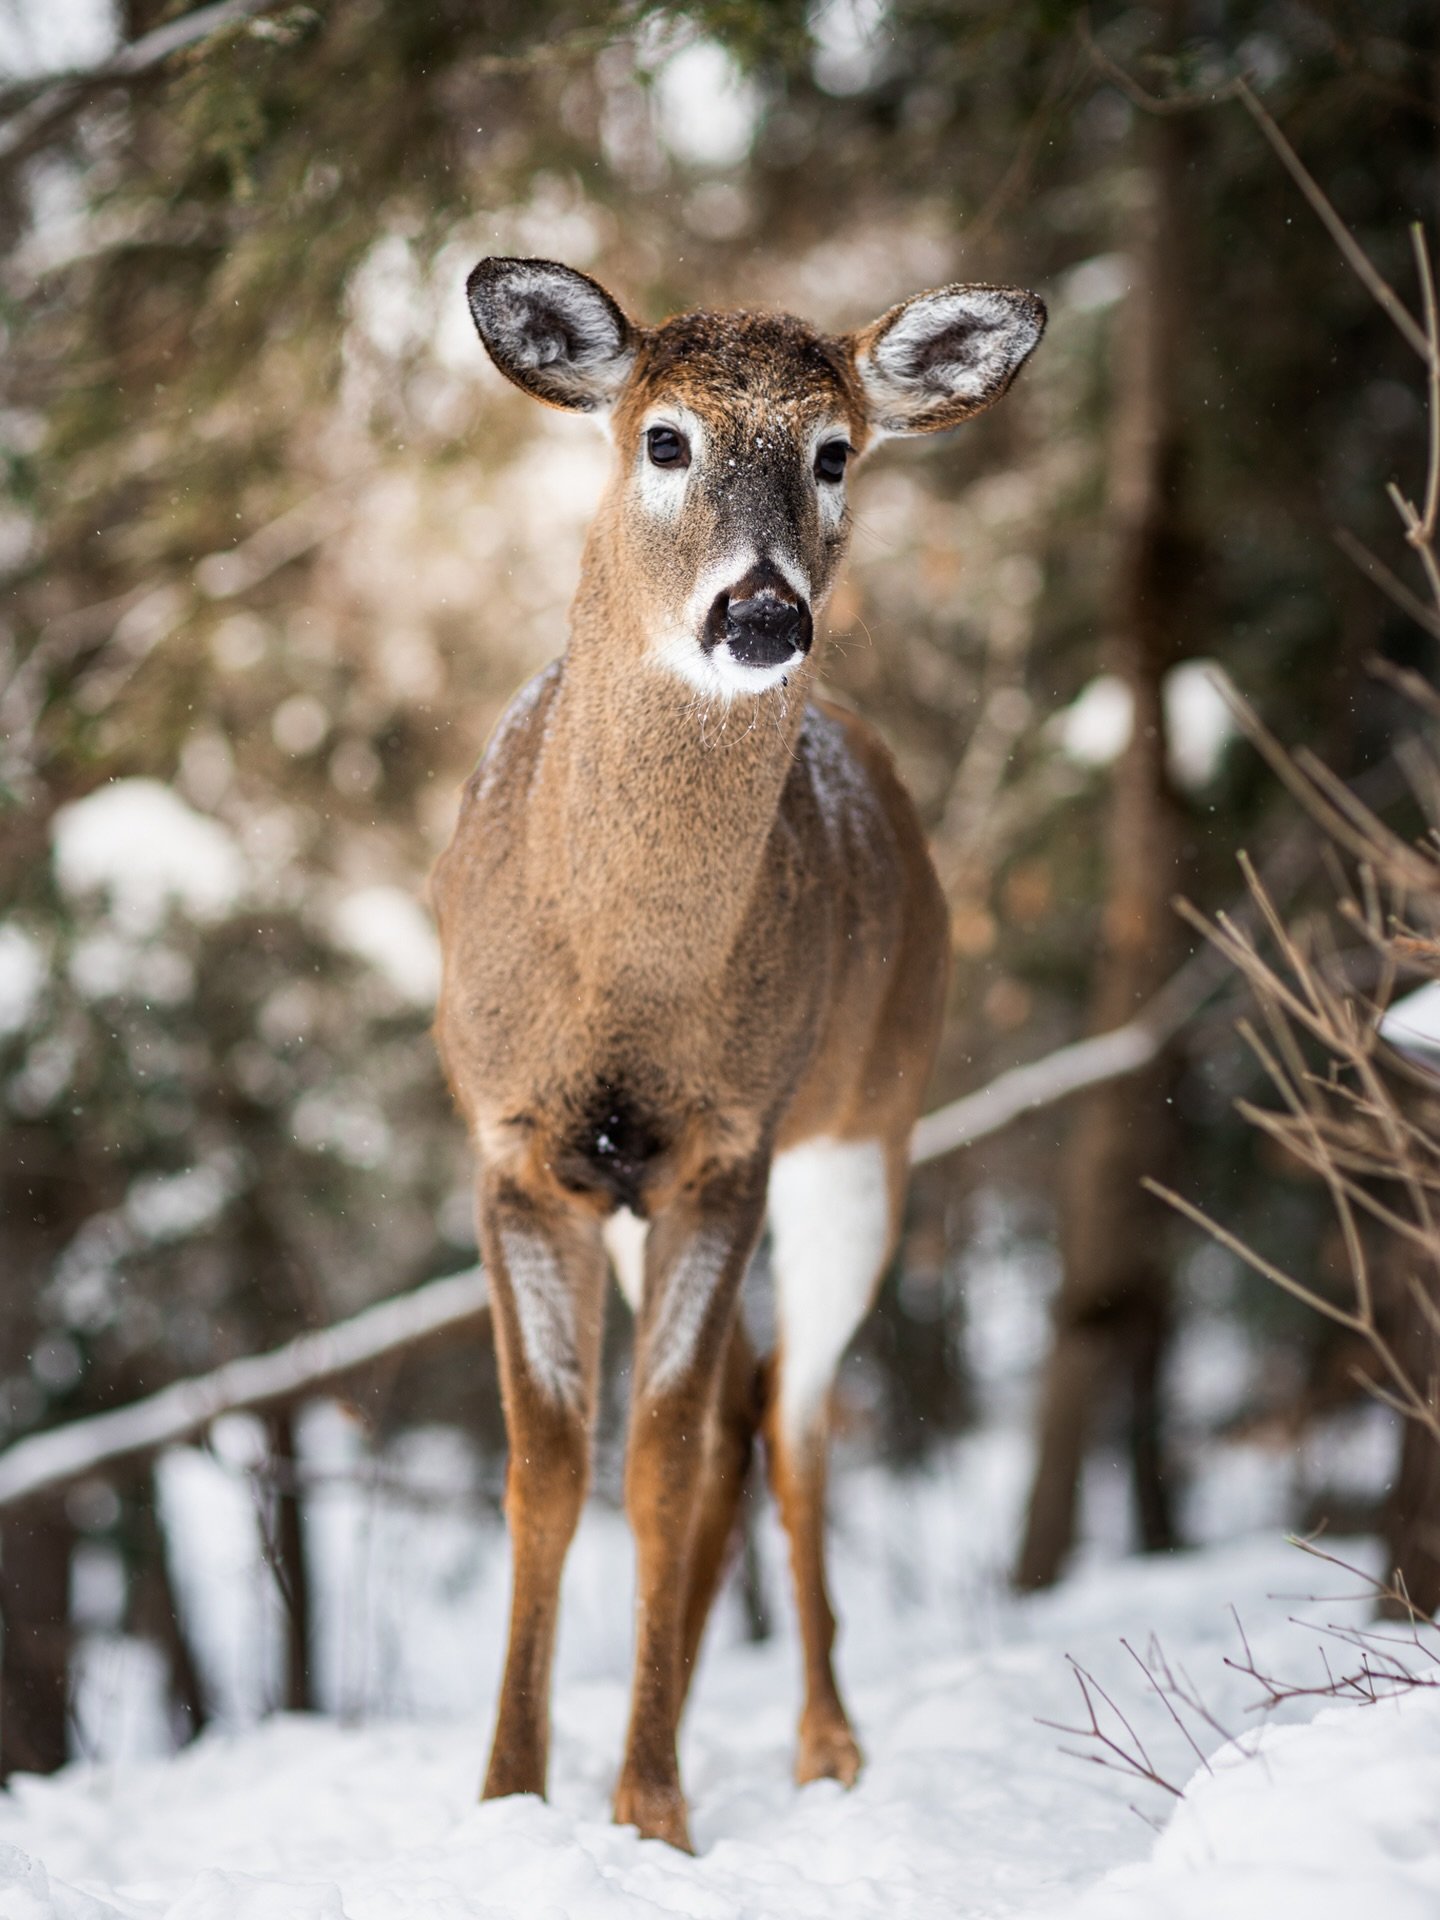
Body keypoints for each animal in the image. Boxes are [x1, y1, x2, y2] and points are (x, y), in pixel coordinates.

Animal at [432, 255, 1044, 1852]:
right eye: (665, 439)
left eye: (835, 453)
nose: (763, 611)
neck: (623, 982)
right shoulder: (516, 1147)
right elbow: (546, 1468)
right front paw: (510, 1797)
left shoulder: (728, 1143)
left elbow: (657, 1461)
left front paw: (648, 1811)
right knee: (751, 1403)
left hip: (863, 1135)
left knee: (789, 1415)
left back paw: (825, 1739)